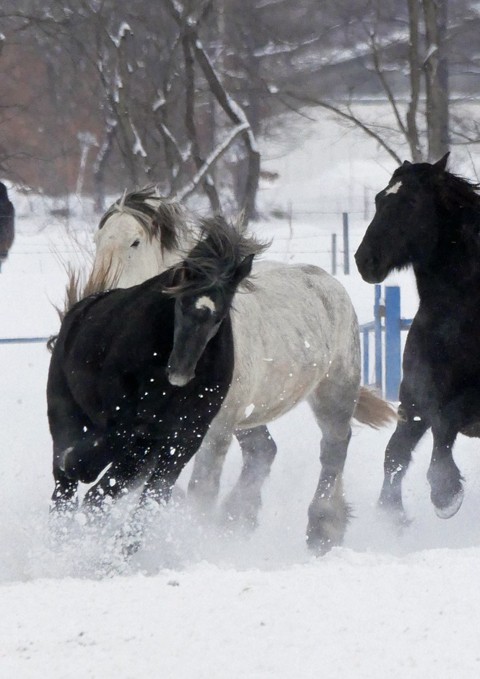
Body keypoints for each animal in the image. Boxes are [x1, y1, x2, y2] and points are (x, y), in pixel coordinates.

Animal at [47, 218, 262, 536]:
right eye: (180, 303)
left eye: (219, 316)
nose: (180, 373)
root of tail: (79, 312)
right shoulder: (129, 427)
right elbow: (105, 463)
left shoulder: (183, 440)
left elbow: (150, 498)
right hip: (66, 417)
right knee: (66, 489)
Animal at [354, 157, 480, 524]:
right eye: (379, 199)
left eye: (411, 202)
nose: (365, 260)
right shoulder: (413, 399)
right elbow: (395, 453)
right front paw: (391, 516)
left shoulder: (472, 402)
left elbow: (444, 424)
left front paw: (445, 494)